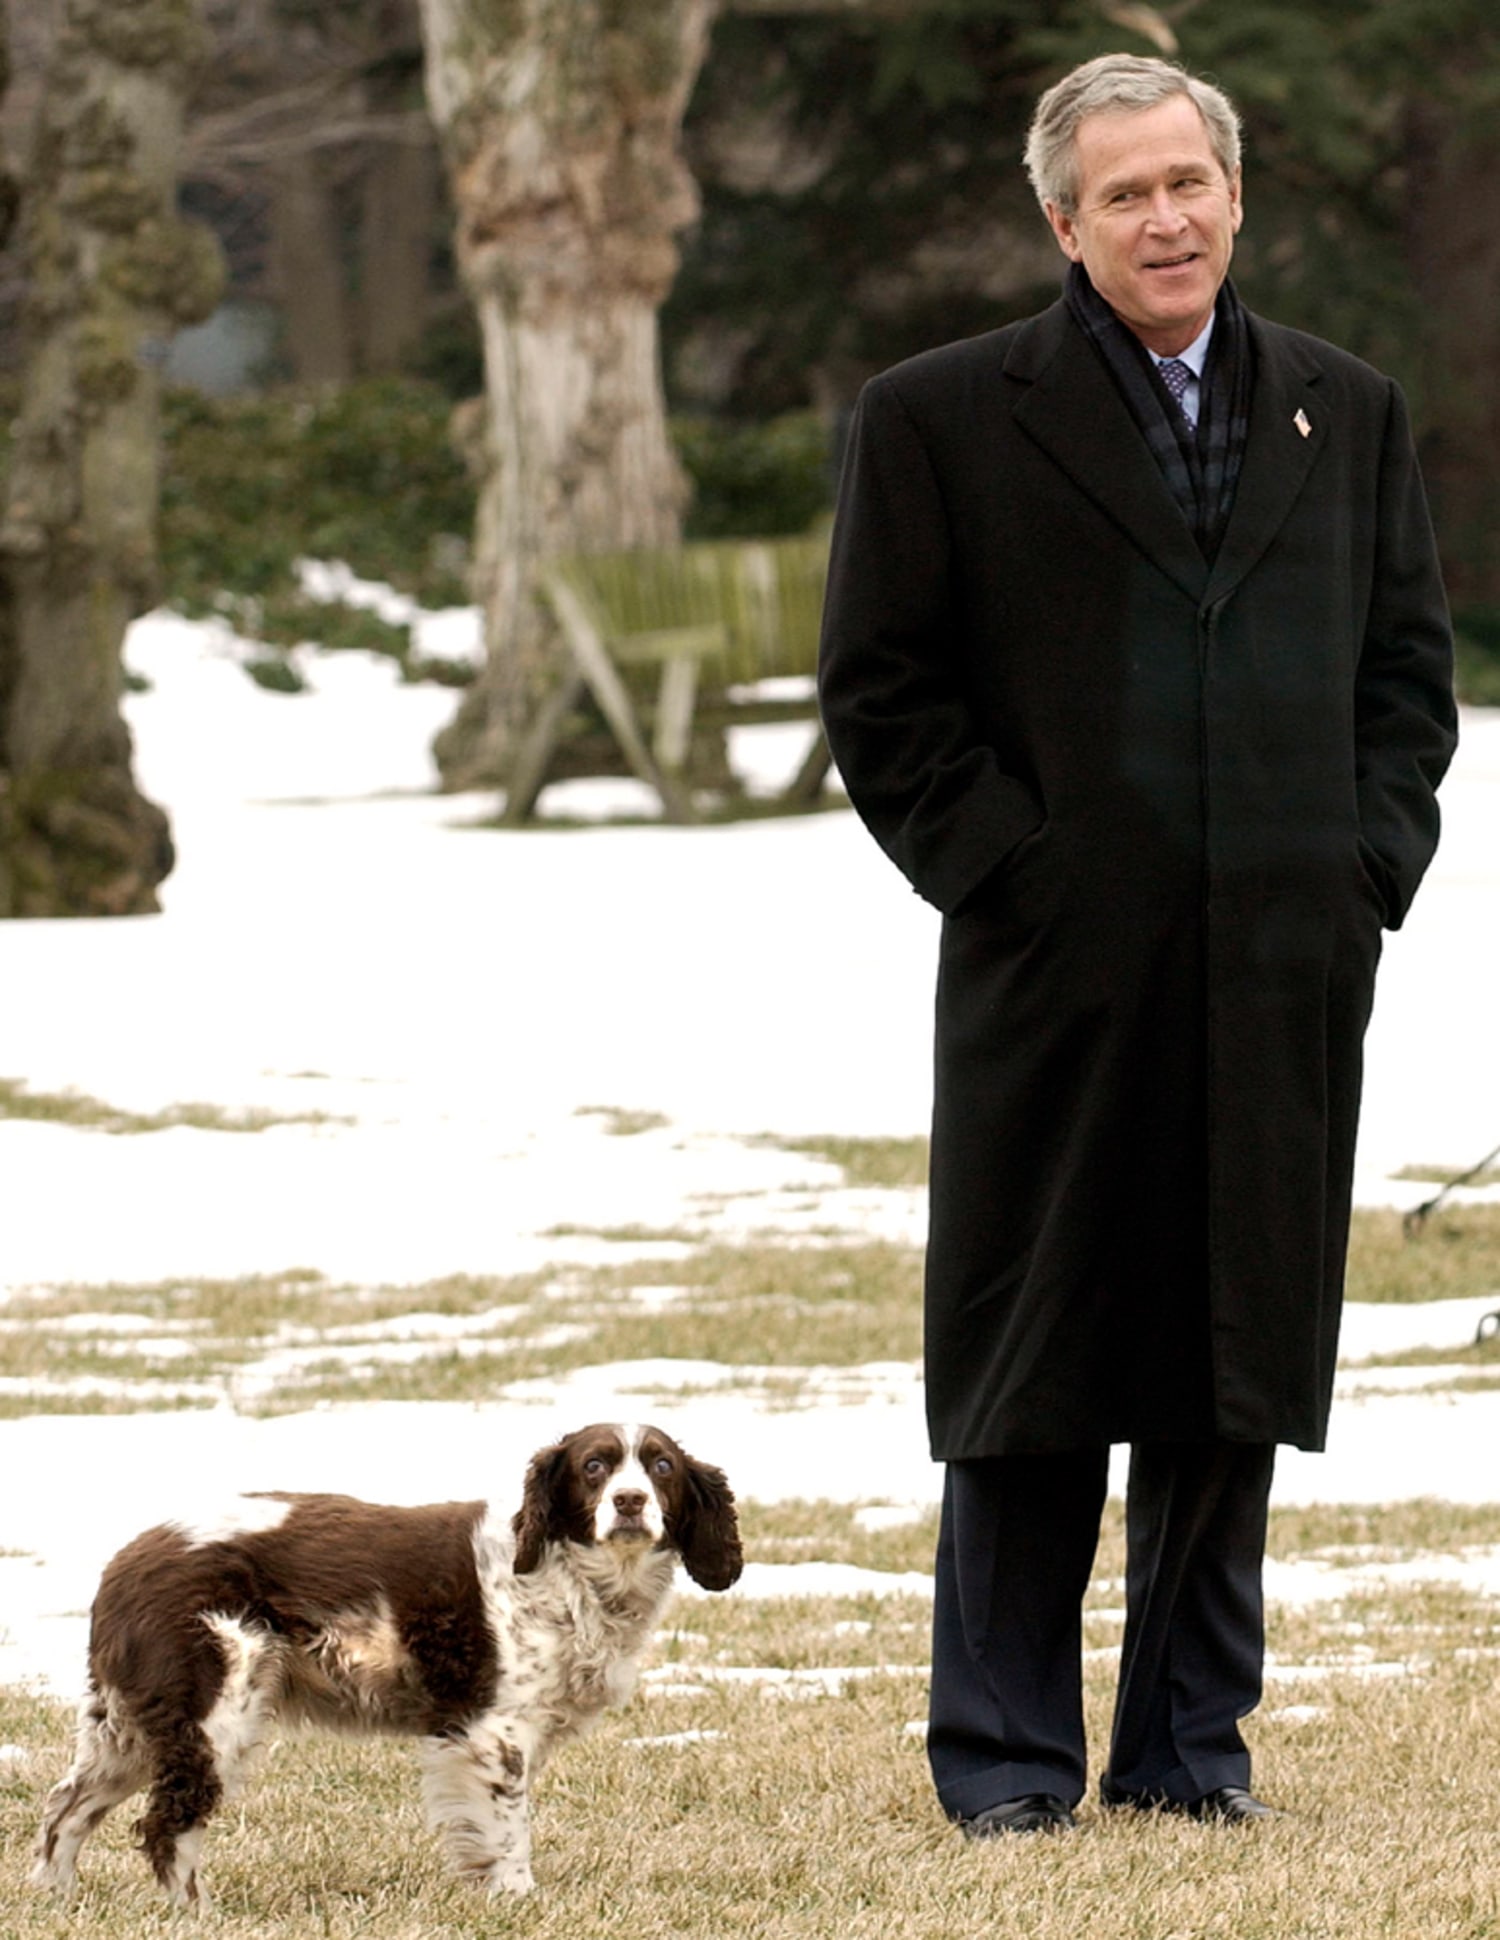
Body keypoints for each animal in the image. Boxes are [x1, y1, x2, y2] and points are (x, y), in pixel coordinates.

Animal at [33, 1420, 737, 1901]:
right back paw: (196, 1912)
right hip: (213, 1714)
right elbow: (509, 1831)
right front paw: (518, 1897)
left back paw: (56, 1899)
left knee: (66, 1807)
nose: (629, 1501)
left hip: (131, 1728)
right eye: (594, 1466)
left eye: (662, 1466)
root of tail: (129, 1558)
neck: (567, 1576)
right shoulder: (495, 1732)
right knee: (166, 1826)